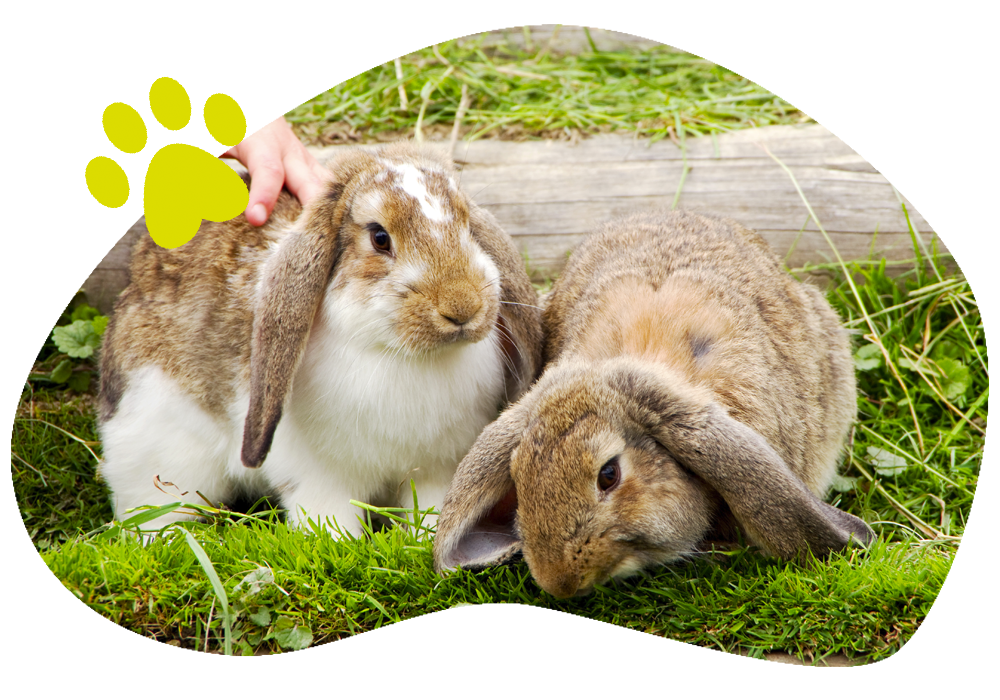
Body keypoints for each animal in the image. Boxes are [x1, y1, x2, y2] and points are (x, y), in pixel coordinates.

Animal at [96, 141, 543, 539]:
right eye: (379, 238)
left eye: (467, 226)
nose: (462, 308)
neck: (401, 354)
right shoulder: (320, 478)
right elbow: (328, 515)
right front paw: (335, 541)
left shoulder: (436, 470)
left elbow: (431, 508)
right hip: (160, 446)